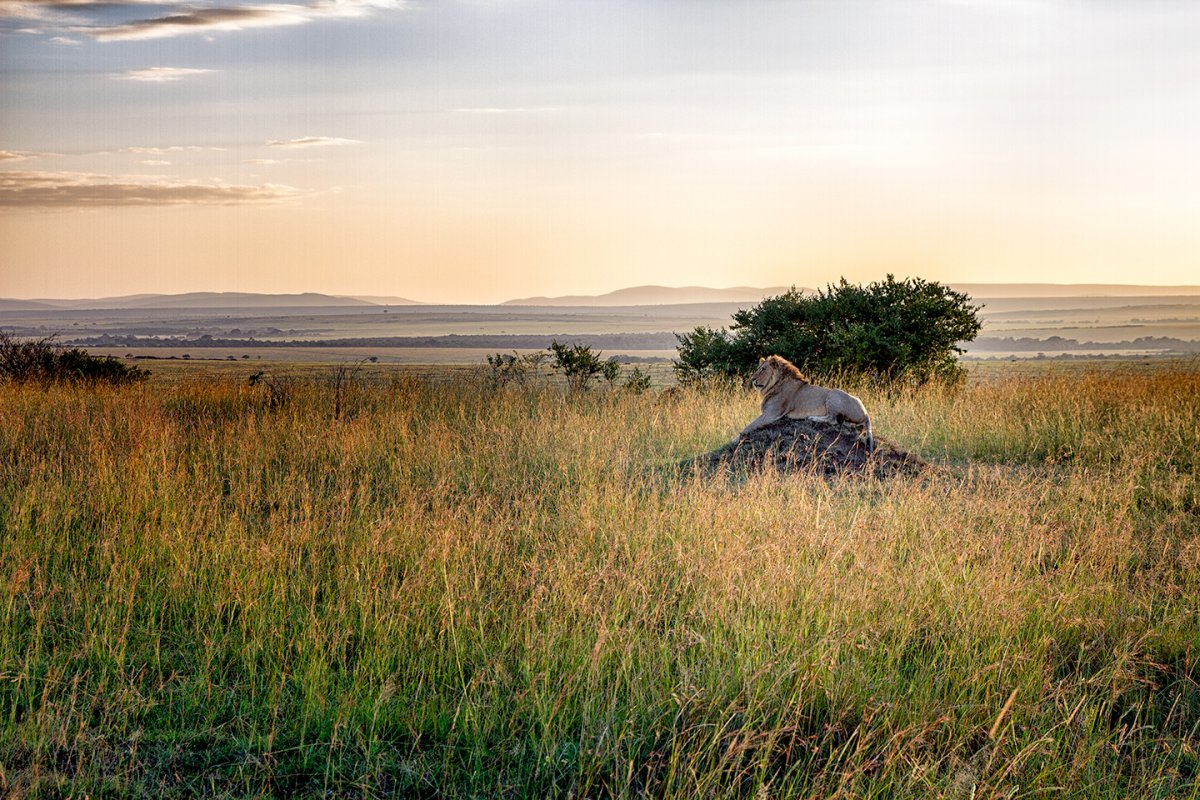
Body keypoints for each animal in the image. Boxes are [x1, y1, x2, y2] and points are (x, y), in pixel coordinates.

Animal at [740, 355, 873, 449]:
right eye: (758, 368)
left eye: (763, 369)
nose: (752, 379)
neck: (775, 384)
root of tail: (866, 412)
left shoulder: (771, 414)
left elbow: (747, 428)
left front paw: (737, 439)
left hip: (833, 394)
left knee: (833, 420)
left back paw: (813, 417)